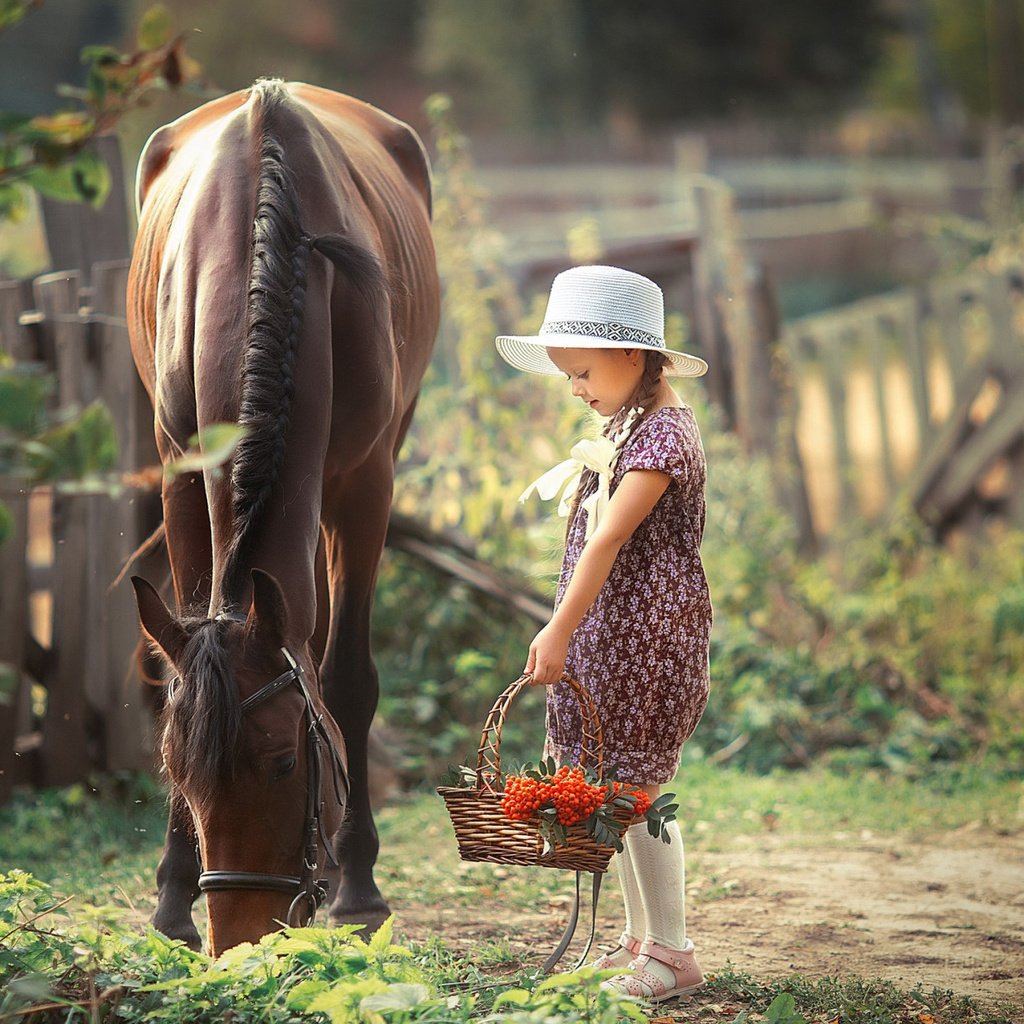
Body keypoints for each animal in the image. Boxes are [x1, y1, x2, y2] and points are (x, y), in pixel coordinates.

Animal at [124, 81, 440, 958]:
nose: (239, 941)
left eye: (284, 765)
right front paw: (172, 897)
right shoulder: (180, 473)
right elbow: (182, 664)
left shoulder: (366, 486)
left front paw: (358, 888)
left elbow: (346, 680)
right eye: (180, 771)